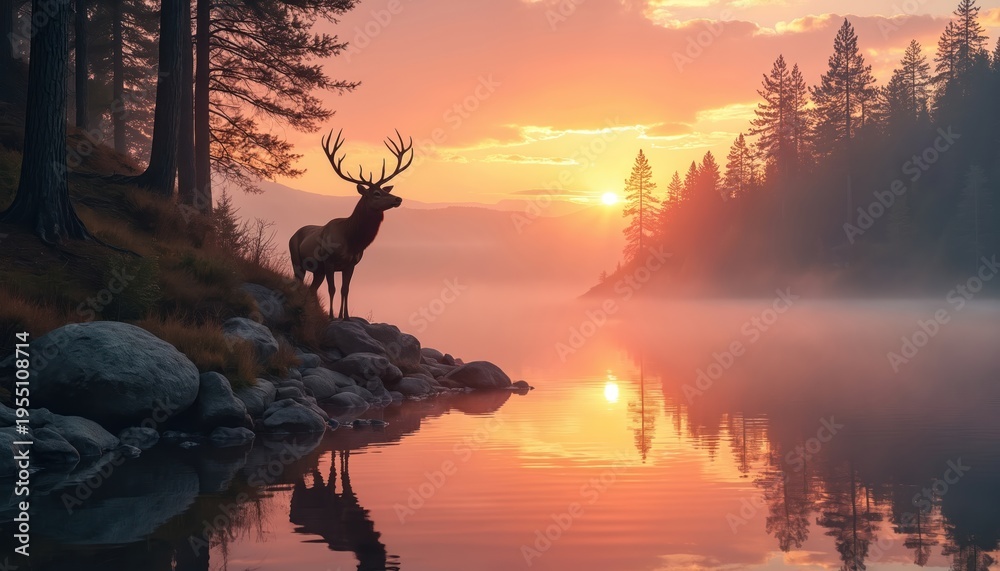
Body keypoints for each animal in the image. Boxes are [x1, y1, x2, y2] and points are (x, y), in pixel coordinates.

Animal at [288, 129, 414, 320]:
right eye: (376, 193)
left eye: (385, 190)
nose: (398, 199)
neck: (351, 240)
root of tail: (293, 234)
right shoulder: (329, 261)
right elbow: (332, 289)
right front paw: (332, 316)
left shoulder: (351, 264)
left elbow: (344, 289)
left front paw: (345, 316)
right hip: (296, 259)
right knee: (299, 283)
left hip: (318, 270)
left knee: (312, 289)